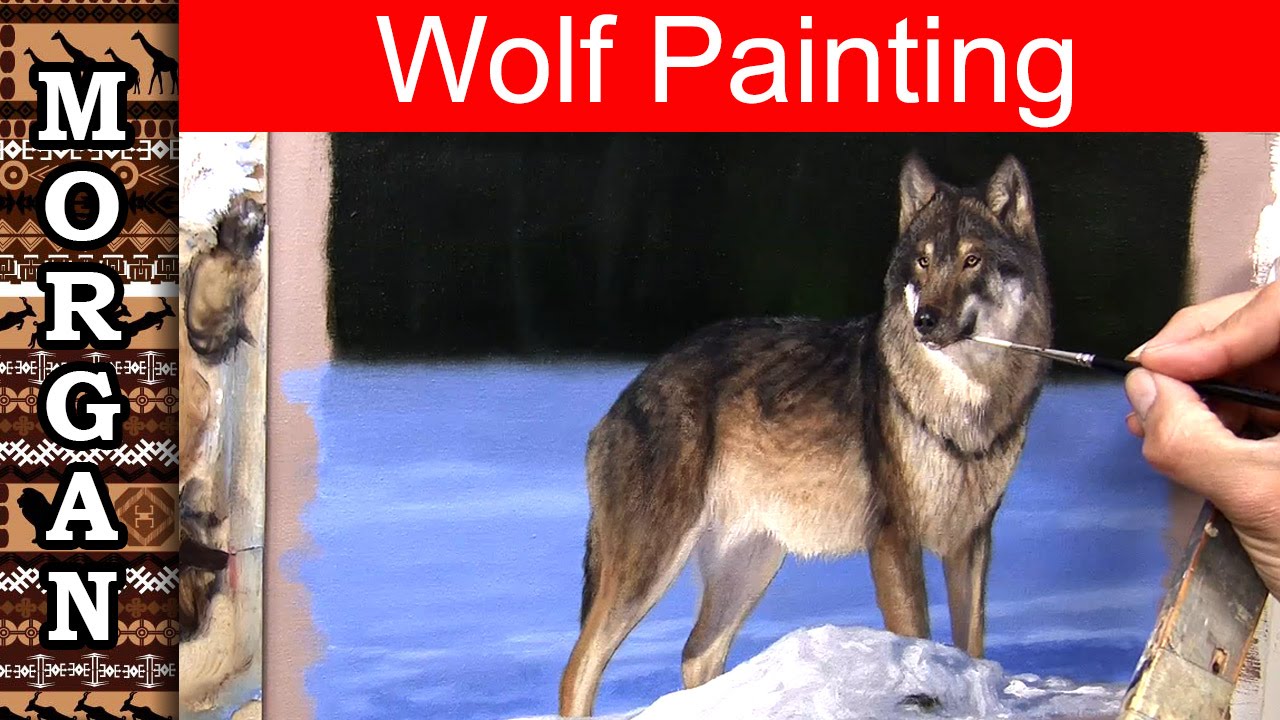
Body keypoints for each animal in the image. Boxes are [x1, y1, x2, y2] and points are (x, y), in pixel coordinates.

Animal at [557, 153, 1053, 717]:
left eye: (972, 261)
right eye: (924, 263)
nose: (925, 320)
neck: (961, 409)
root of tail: (621, 399)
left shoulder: (971, 542)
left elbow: (971, 645)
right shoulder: (893, 541)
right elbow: (918, 639)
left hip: (751, 568)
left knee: (696, 654)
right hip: (652, 568)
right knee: (579, 668)